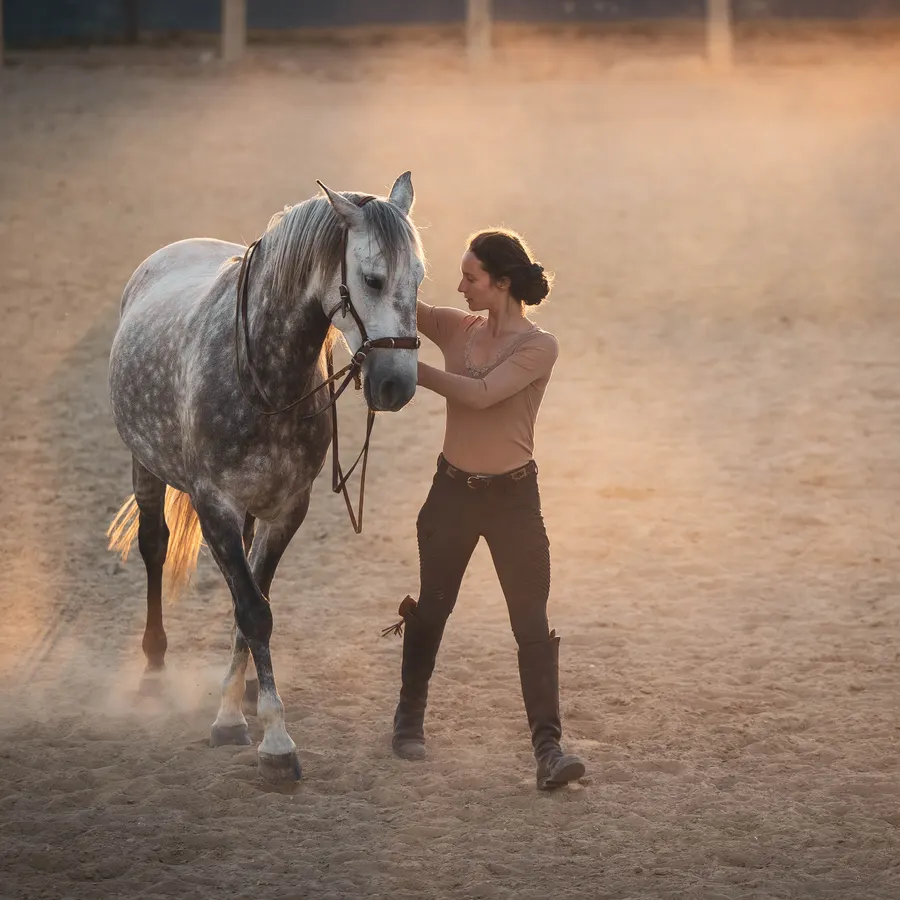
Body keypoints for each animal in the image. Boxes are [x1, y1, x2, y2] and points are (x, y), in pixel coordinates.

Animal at [106, 173, 423, 783]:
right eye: (372, 278)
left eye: (419, 278)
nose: (397, 384)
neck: (268, 382)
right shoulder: (215, 507)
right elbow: (253, 611)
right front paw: (274, 742)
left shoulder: (285, 509)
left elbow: (254, 600)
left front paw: (237, 710)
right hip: (145, 466)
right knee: (155, 547)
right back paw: (154, 672)